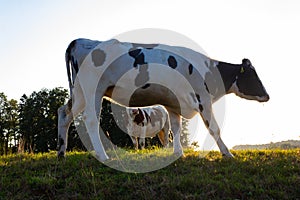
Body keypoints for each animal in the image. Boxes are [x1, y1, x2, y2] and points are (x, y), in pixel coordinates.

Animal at [57, 38, 268, 161]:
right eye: (253, 75)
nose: (267, 95)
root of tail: (79, 41)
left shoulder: (173, 104)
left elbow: (175, 128)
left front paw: (178, 153)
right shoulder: (203, 99)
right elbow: (214, 128)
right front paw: (227, 153)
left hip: (79, 92)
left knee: (64, 113)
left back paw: (61, 153)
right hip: (93, 89)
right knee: (90, 120)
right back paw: (102, 156)